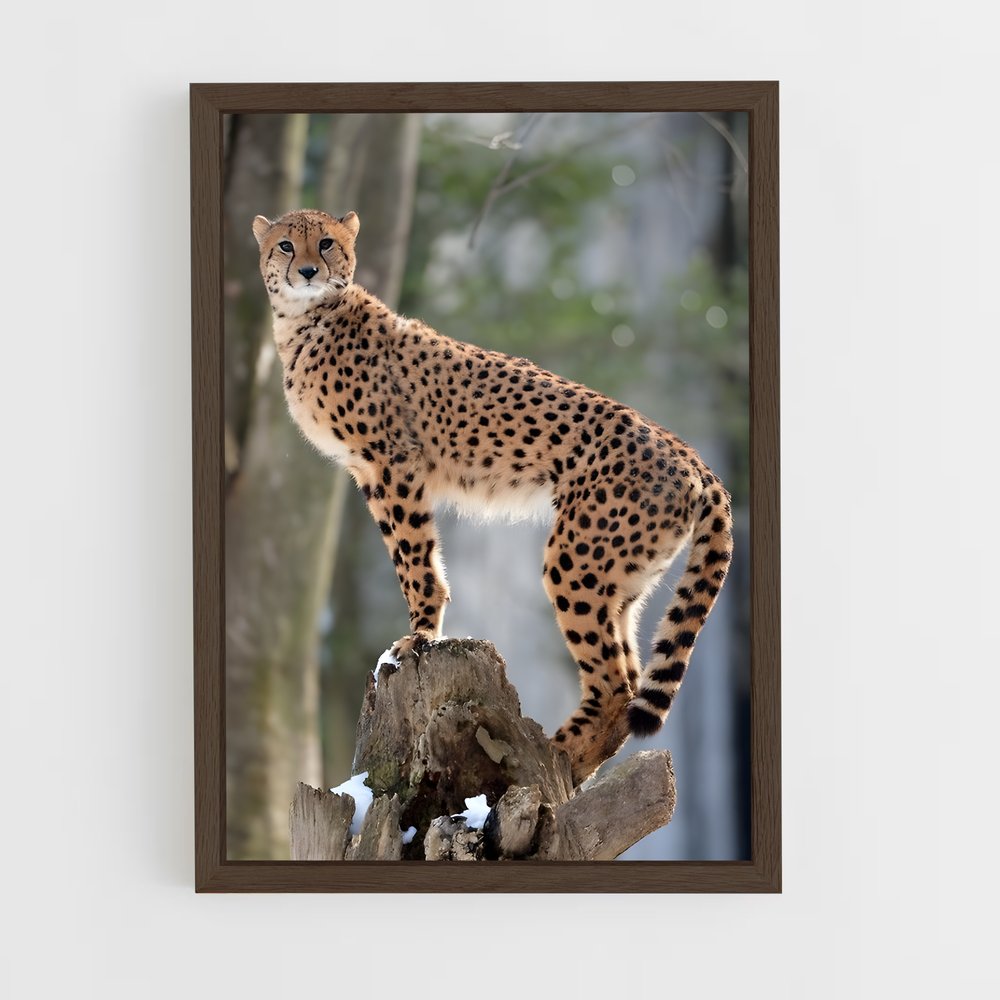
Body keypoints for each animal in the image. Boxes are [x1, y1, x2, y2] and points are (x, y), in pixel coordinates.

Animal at [252, 208, 734, 785]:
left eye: (326, 243)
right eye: (285, 245)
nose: (306, 270)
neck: (303, 320)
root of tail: (691, 455)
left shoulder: (392, 461)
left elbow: (414, 558)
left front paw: (420, 636)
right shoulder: (370, 471)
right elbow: (411, 553)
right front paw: (422, 632)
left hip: (575, 561)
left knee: (616, 686)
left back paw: (551, 758)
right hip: (623, 579)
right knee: (631, 674)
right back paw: (565, 765)